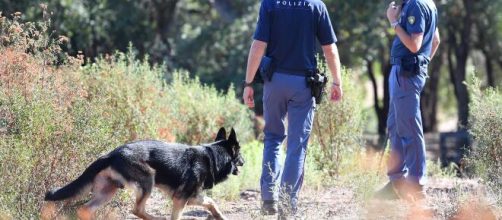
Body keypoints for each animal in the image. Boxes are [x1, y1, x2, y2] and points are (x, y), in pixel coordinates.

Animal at [44, 128, 244, 219]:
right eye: (240, 153)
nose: (245, 161)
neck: (212, 156)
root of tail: (111, 154)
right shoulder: (181, 199)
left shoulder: (191, 196)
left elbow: (211, 202)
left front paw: (220, 216)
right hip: (148, 180)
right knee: (137, 210)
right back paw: (155, 218)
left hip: (108, 192)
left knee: (84, 209)